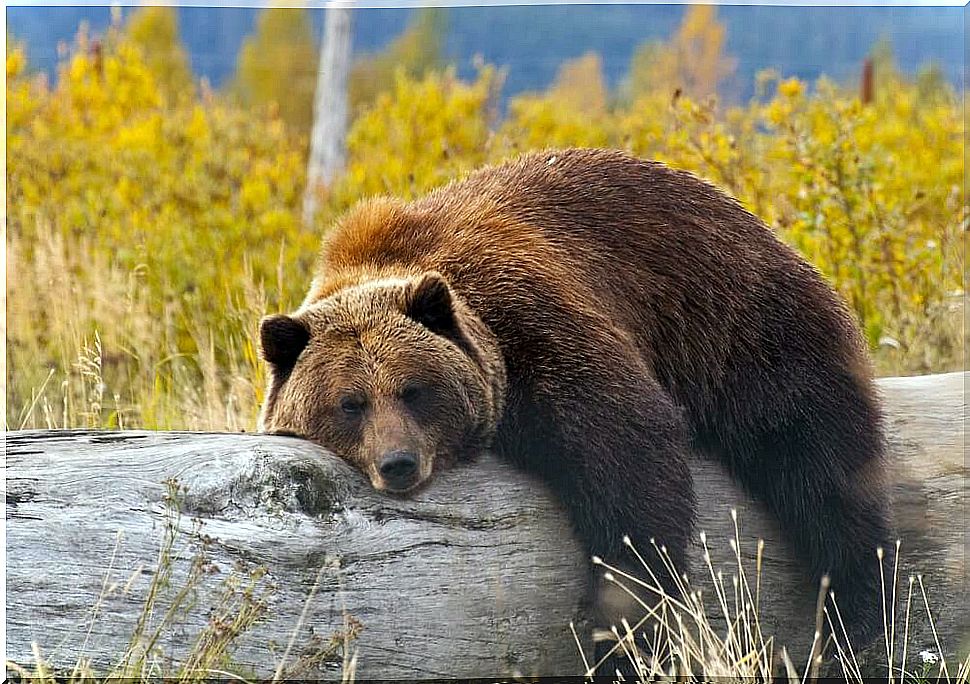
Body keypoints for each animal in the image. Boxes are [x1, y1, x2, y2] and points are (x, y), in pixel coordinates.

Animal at [258, 148, 892, 656]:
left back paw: (856, 611)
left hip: (744, 329)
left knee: (820, 464)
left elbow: (630, 456)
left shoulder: (535, 320)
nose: (398, 463)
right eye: (350, 403)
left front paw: (618, 627)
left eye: (415, 390)